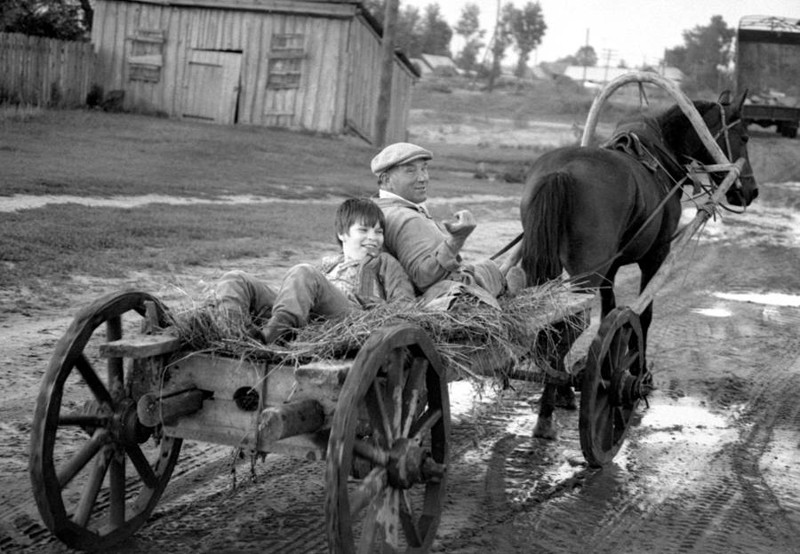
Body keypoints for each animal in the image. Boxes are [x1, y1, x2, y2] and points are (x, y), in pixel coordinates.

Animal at [520, 90, 756, 438]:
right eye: (744, 136)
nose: (750, 191)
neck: (659, 155)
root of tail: (561, 173)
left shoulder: (611, 267)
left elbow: (609, 309)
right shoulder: (655, 256)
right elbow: (643, 317)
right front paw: (640, 373)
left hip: (547, 265)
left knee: (552, 324)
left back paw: (560, 392)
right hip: (586, 272)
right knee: (568, 328)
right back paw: (546, 415)